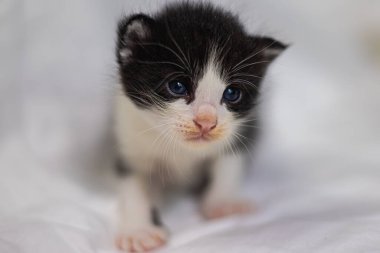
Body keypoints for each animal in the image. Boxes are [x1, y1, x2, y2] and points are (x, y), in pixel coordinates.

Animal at [113, 1, 284, 251]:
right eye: (177, 86)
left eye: (232, 93)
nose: (206, 121)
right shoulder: (129, 139)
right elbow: (132, 186)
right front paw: (139, 231)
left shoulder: (242, 130)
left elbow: (229, 163)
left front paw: (223, 202)